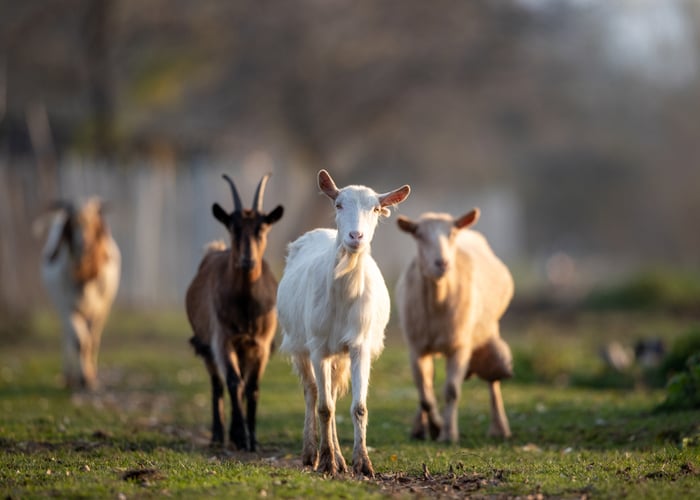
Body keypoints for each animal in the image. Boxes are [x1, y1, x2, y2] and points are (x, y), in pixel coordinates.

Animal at [40, 197, 121, 391]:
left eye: (94, 224)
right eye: (73, 224)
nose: (85, 244)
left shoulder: (101, 310)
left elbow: (92, 341)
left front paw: (90, 378)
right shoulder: (66, 308)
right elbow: (79, 341)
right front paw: (83, 378)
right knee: (67, 337)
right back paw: (68, 376)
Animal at [185, 173, 283, 451]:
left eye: (262, 228)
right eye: (233, 228)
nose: (247, 261)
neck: (246, 307)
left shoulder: (260, 344)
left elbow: (252, 387)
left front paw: (253, 439)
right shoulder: (222, 338)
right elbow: (233, 381)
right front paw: (240, 436)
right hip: (205, 343)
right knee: (217, 384)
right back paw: (219, 435)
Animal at [277, 169, 410, 477]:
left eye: (376, 209)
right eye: (338, 204)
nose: (355, 236)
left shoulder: (360, 344)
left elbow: (358, 406)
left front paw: (362, 463)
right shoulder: (317, 346)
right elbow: (324, 407)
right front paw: (326, 462)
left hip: (341, 354)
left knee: (334, 394)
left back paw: (338, 456)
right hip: (298, 343)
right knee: (312, 393)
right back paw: (311, 454)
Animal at [395, 209, 513, 443]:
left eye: (451, 234)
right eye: (418, 235)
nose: (442, 263)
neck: (438, 297)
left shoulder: (460, 346)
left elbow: (451, 391)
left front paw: (448, 434)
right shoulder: (416, 347)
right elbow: (424, 394)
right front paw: (435, 427)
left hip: (488, 330)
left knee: (493, 380)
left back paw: (499, 428)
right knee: (428, 383)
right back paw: (419, 429)